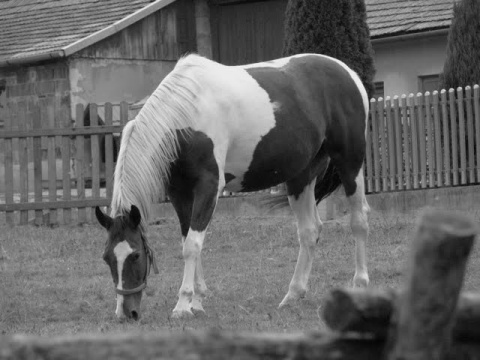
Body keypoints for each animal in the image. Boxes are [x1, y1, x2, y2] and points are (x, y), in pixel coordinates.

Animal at [95, 52, 370, 320]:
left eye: (135, 255)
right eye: (106, 257)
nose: (126, 313)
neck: (186, 116)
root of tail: (348, 73)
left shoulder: (208, 188)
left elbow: (192, 245)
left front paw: (183, 305)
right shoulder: (179, 194)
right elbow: (188, 241)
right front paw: (197, 302)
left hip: (350, 163)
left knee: (359, 221)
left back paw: (359, 284)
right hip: (301, 177)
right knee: (309, 231)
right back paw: (292, 295)